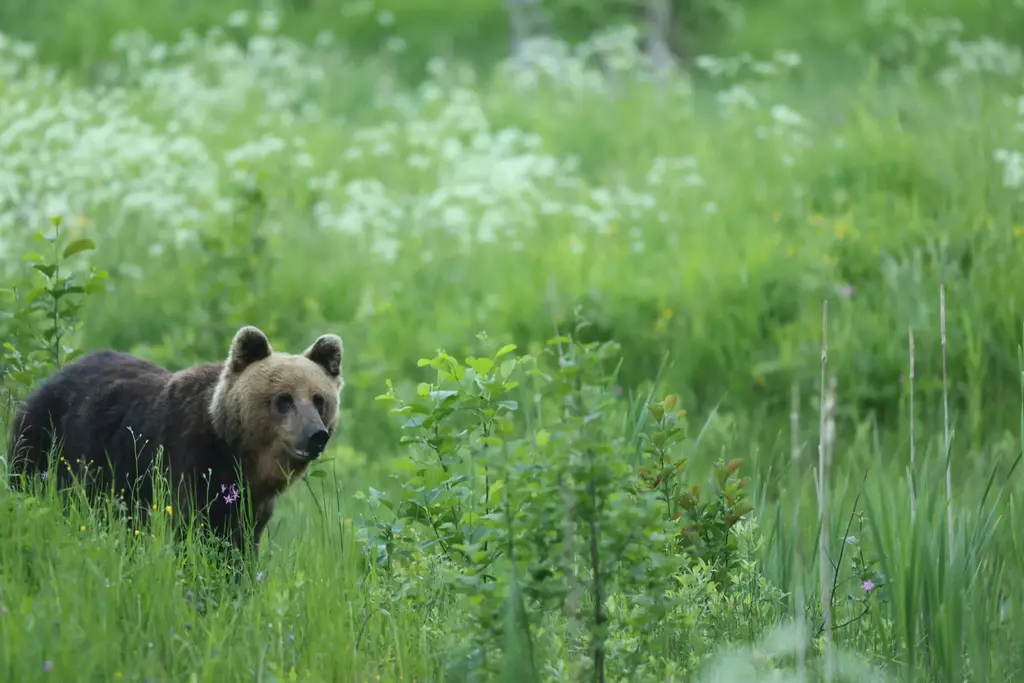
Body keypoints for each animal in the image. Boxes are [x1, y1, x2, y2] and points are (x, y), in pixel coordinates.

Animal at [6, 325, 344, 559]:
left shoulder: (252, 503)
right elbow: (199, 529)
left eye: (319, 399)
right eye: (284, 399)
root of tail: (49, 378)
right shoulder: (190, 462)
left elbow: (242, 543)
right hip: (48, 446)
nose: (316, 435)